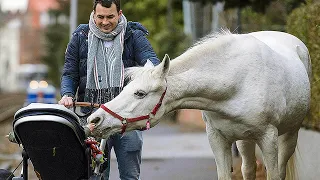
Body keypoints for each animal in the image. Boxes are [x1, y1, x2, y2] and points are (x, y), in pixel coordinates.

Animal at [87, 30, 310, 179]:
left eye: (139, 93)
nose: (94, 120)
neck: (236, 80)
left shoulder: (269, 138)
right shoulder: (217, 139)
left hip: (289, 135)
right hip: (245, 140)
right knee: (248, 169)